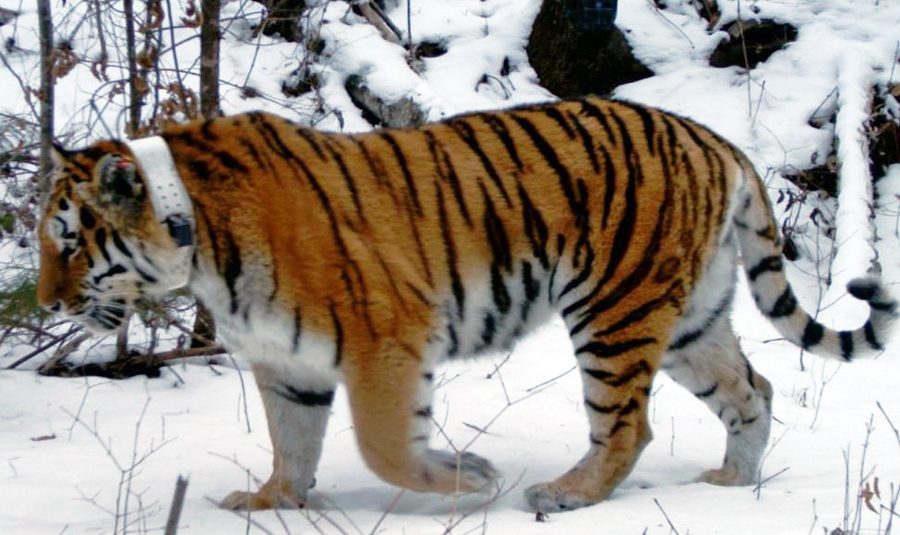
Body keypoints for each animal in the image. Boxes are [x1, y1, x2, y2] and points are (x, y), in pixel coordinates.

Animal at [37, 96, 897, 513]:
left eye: (69, 243)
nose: (45, 299)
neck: (197, 240)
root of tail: (715, 139)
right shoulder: (289, 364)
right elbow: (293, 442)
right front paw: (272, 501)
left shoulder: (386, 337)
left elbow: (385, 447)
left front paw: (469, 477)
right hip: (691, 318)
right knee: (754, 389)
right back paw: (731, 484)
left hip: (614, 309)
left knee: (629, 423)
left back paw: (566, 494)